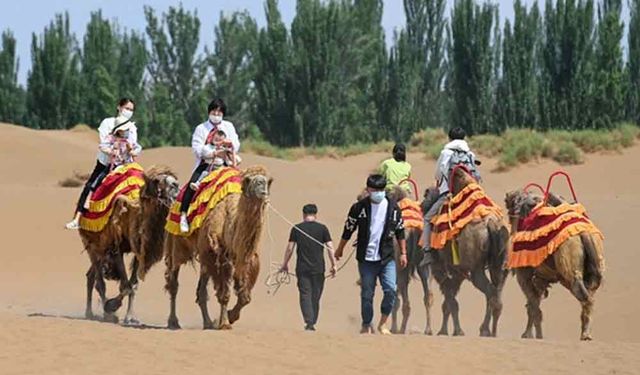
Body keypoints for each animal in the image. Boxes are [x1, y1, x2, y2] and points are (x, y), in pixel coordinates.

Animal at [80, 166, 180, 324]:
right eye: (157, 181)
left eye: (174, 180)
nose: (175, 185)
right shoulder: (117, 248)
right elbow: (125, 286)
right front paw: (112, 306)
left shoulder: (138, 252)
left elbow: (133, 285)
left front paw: (130, 317)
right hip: (92, 245)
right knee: (99, 281)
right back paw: (103, 314)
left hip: (101, 249)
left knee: (91, 275)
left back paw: (91, 312)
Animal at [164, 166, 272, 330]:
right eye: (249, 180)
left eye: (266, 180)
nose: (262, 186)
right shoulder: (217, 255)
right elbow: (224, 294)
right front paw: (225, 323)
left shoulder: (244, 257)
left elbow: (245, 297)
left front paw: (230, 317)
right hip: (176, 243)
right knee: (173, 281)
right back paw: (173, 322)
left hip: (204, 255)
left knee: (201, 291)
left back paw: (208, 322)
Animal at [422, 170, 508, 338]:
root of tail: (491, 224)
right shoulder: (458, 271)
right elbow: (449, 300)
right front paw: (448, 330)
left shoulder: (441, 267)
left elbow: (449, 299)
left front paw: (451, 331)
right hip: (501, 265)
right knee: (497, 293)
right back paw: (492, 331)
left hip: (474, 268)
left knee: (490, 292)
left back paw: (485, 330)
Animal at [504, 191, 604, 340]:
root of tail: (584, 233)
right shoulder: (541, 278)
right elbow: (533, 305)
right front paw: (533, 334)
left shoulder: (524, 274)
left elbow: (533, 306)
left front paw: (530, 335)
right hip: (592, 267)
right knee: (590, 294)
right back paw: (586, 333)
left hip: (569, 267)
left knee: (585, 296)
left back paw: (585, 335)